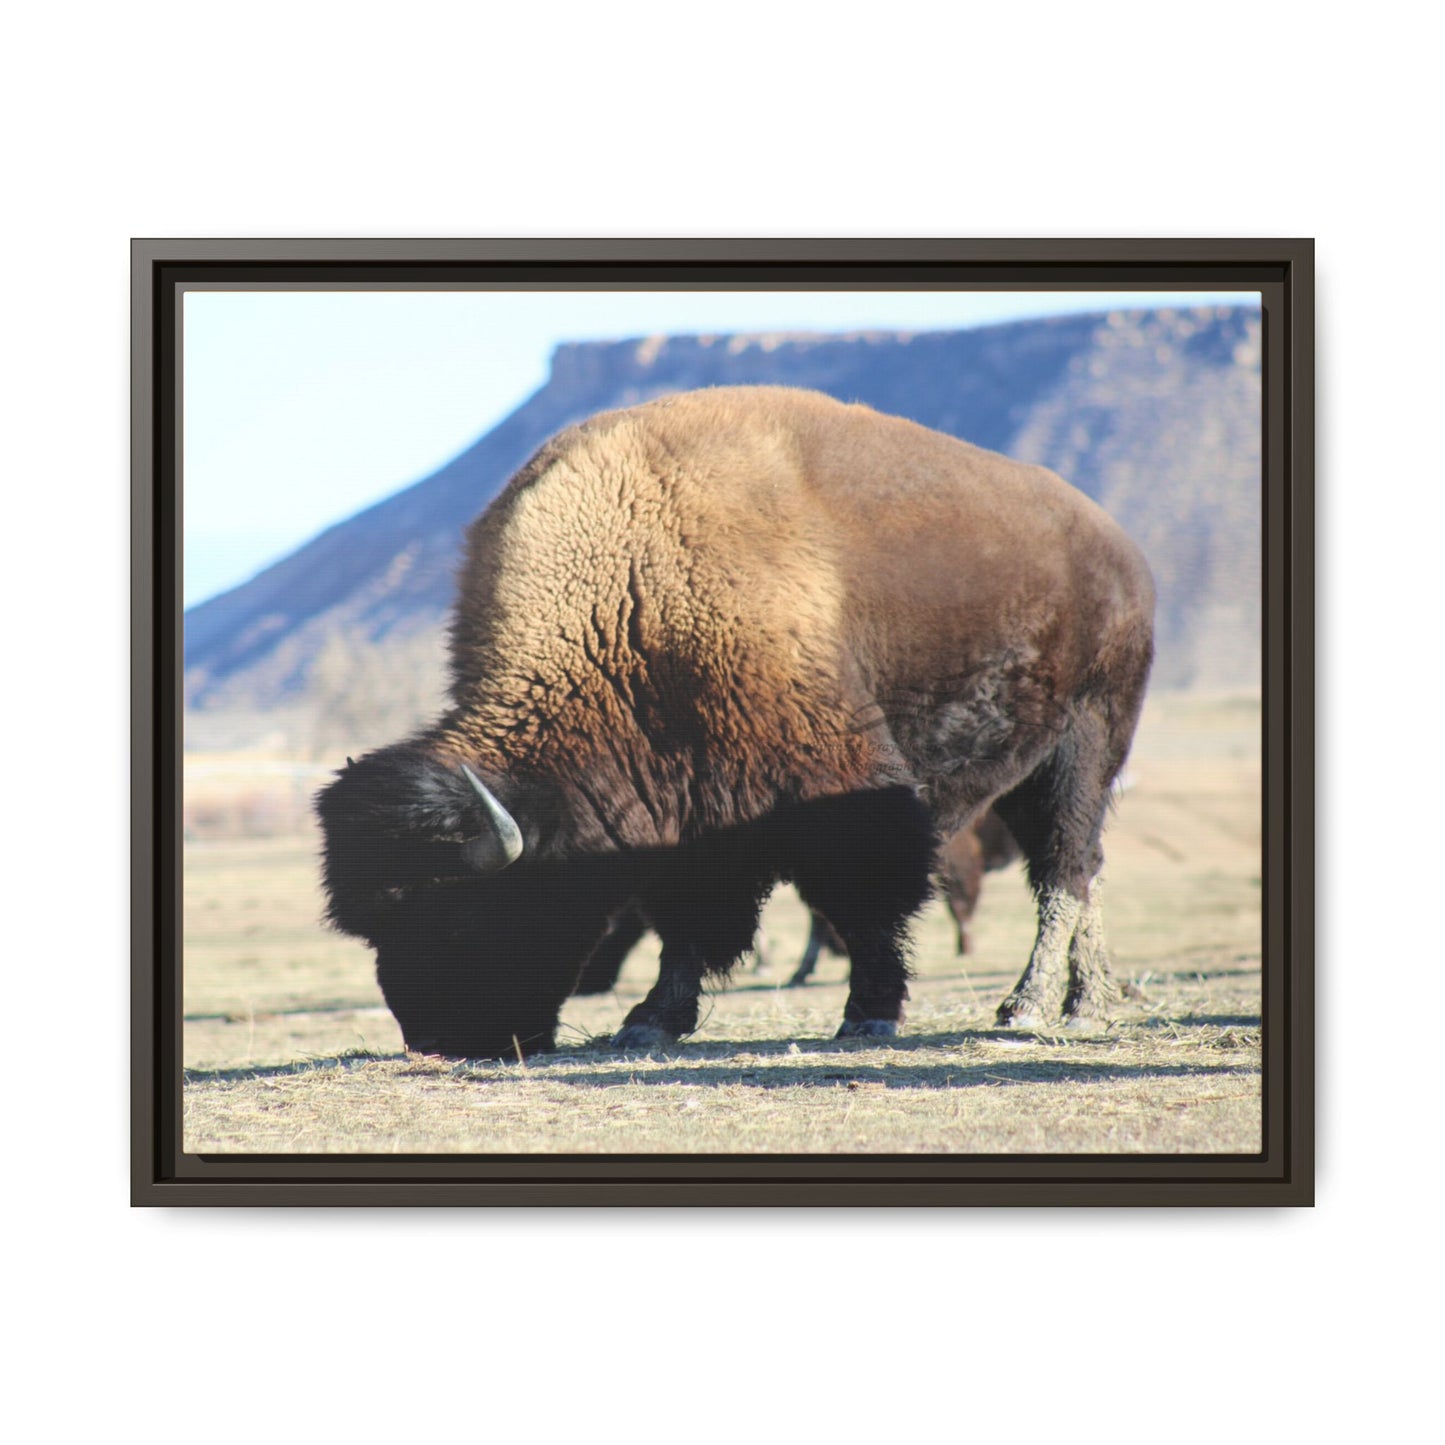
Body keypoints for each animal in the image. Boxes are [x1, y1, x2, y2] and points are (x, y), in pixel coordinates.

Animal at [316, 385, 1154, 1057]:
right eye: (375, 927)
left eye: (457, 914)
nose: (437, 1039)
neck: (631, 596)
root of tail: (1118, 548)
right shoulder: (686, 812)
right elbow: (686, 921)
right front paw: (649, 1021)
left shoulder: (838, 787)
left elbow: (865, 900)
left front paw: (868, 1013)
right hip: (1026, 770)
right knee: (1080, 869)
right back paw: (1087, 998)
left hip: (1085, 744)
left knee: (1064, 869)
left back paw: (1033, 1007)